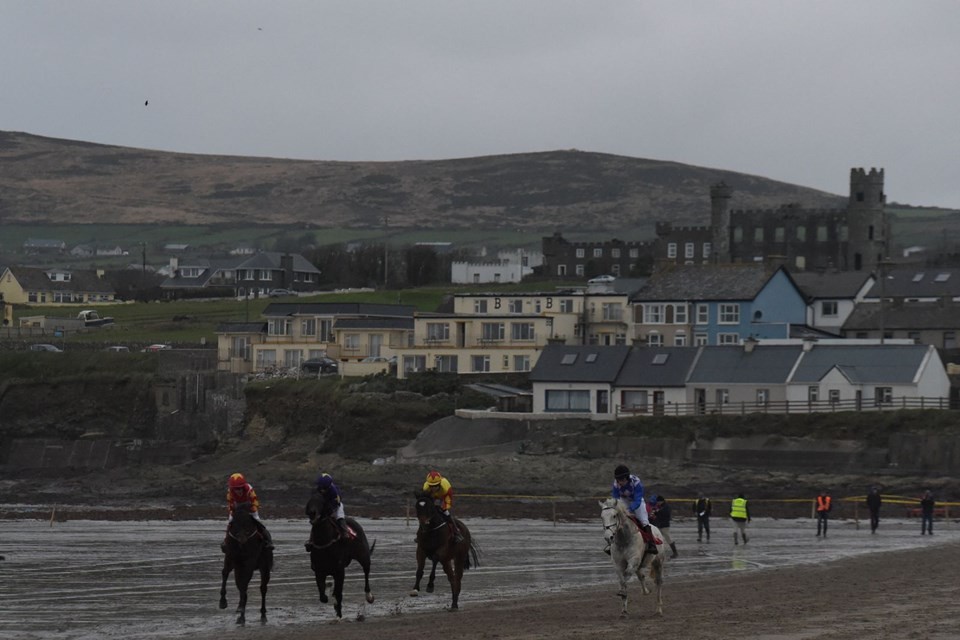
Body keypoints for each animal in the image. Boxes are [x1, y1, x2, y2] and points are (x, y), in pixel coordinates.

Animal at [308, 490, 376, 620]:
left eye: (321, 501)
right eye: (310, 500)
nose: (312, 512)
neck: (325, 542)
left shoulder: (339, 571)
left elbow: (338, 593)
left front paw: (338, 615)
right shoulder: (318, 570)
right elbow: (323, 596)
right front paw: (329, 591)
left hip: (364, 557)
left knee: (366, 573)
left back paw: (369, 596)